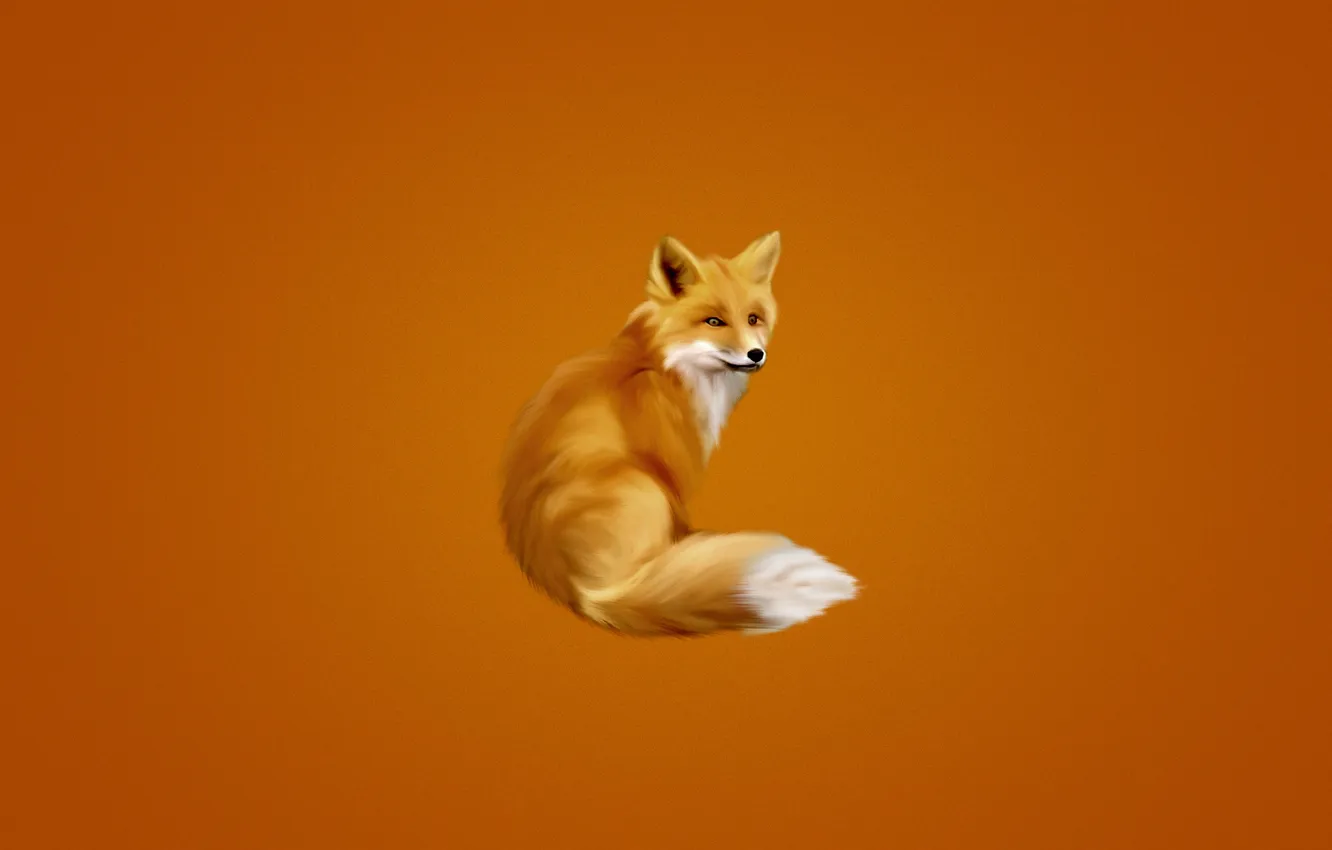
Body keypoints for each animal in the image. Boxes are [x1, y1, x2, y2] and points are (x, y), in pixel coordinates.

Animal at [499, 232, 858, 637]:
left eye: (753, 318)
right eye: (714, 321)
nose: (756, 354)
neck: (661, 363)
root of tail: (583, 594)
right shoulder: (673, 464)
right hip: (644, 487)